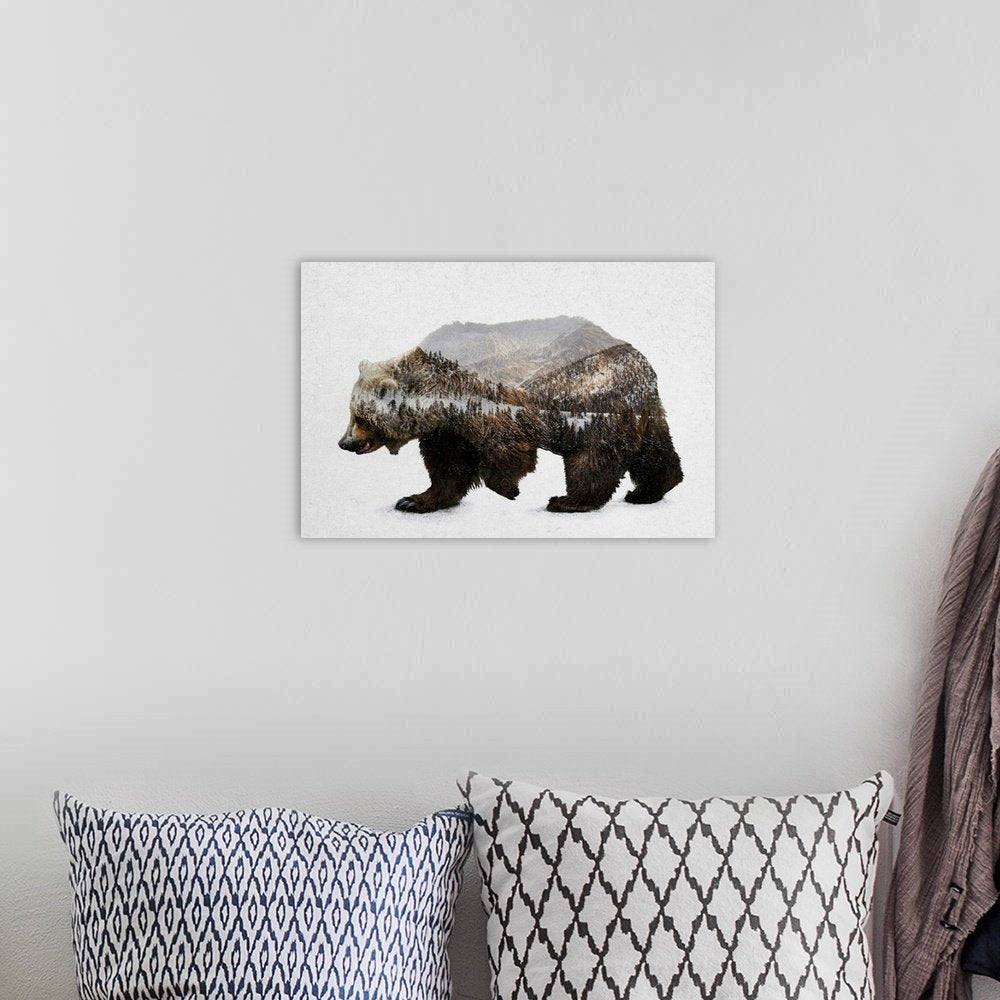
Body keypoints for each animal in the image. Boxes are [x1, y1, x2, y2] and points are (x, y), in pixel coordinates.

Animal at [338, 316, 683, 513]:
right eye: (351, 413)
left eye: (360, 417)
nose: (344, 443)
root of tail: (642, 364)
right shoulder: (447, 426)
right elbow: (447, 465)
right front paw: (414, 500)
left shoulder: (488, 402)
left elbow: (506, 449)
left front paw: (508, 489)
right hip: (641, 412)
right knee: (655, 451)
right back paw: (649, 491)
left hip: (591, 399)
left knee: (592, 456)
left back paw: (568, 501)